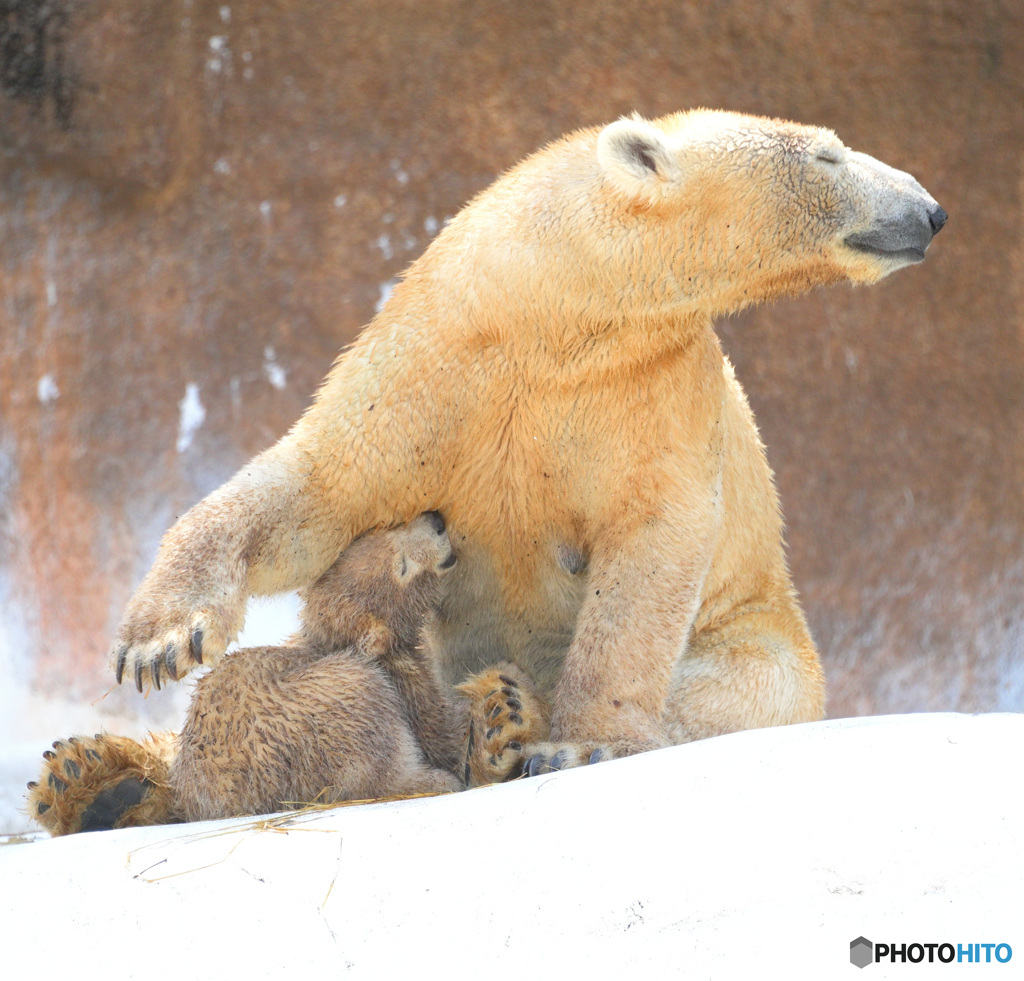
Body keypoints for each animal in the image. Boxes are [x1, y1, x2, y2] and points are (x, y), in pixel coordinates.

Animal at [110, 111, 942, 774]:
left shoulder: (656, 388)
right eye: (829, 155)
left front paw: (582, 739)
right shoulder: (434, 361)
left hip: (762, 625)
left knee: (742, 686)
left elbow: (652, 543)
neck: (548, 315)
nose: (931, 210)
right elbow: (321, 489)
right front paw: (160, 640)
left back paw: (513, 714)